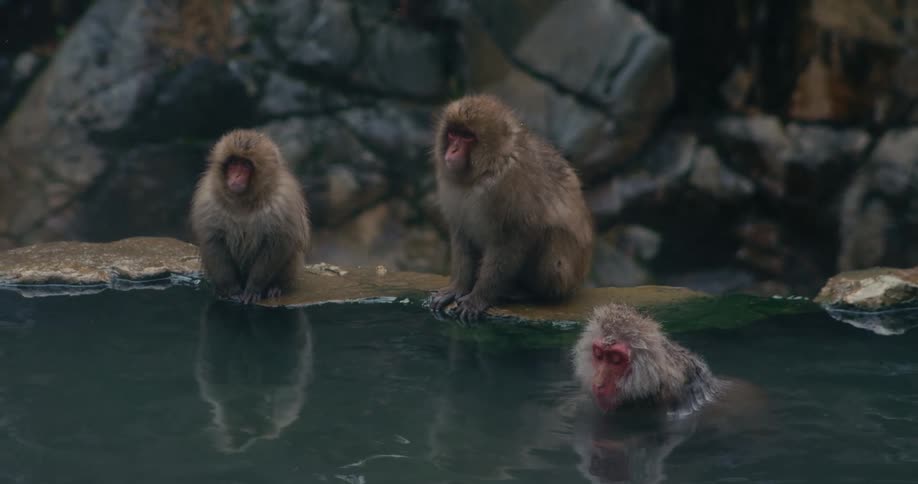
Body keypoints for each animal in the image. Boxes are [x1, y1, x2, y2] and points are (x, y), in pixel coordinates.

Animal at [190, 129, 310, 304]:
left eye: (245, 165)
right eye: (234, 163)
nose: (236, 176)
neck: (244, 202)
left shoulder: (283, 202)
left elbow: (277, 244)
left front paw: (254, 288)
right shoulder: (208, 200)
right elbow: (214, 242)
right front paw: (231, 289)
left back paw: (276, 286)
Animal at [428, 94, 594, 321]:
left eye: (468, 136)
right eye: (454, 133)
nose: (452, 150)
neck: (488, 169)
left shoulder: (512, 184)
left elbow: (512, 239)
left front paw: (478, 297)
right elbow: (462, 235)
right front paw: (458, 288)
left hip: (567, 277)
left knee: (552, 235)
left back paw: (529, 293)